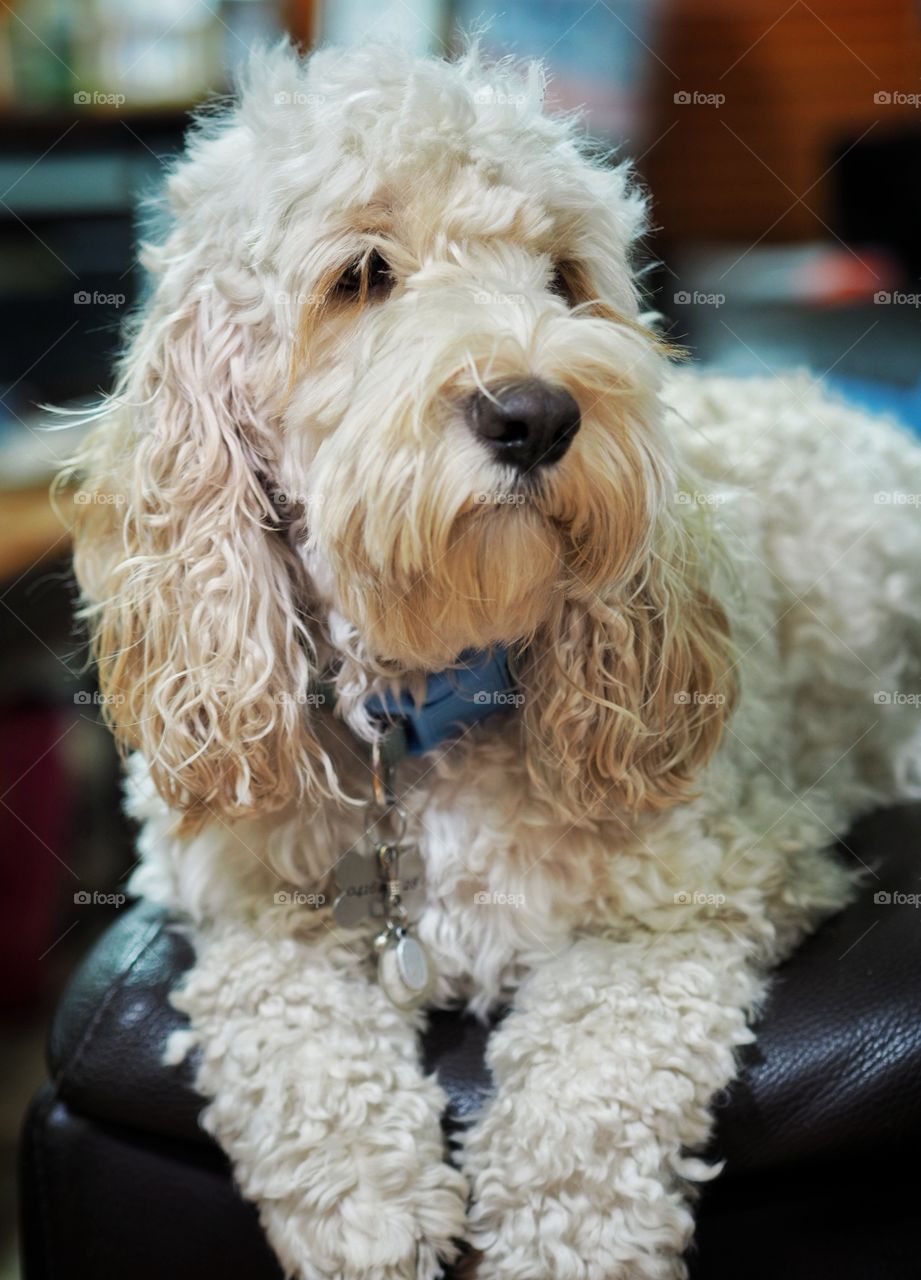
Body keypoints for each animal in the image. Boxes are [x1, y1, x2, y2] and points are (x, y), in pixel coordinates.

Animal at [68, 40, 921, 1280]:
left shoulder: (705, 886)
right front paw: (370, 1217)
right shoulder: (241, 905)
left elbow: (588, 1092)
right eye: (362, 274)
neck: (422, 710)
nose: (536, 412)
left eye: (565, 277)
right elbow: (290, 1035)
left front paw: (564, 1233)